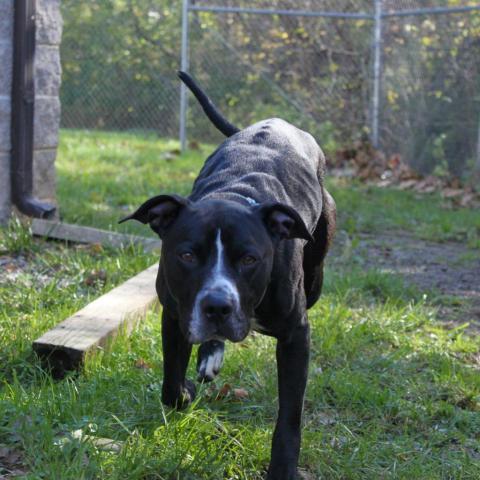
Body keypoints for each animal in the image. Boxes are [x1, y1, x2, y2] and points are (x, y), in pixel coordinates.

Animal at [120, 72, 338, 480]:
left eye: (250, 259)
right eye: (187, 255)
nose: (218, 307)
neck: (234, 194)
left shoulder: (295, 335)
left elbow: (289, 417)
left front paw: (282, 469)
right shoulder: (175, 314)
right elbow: (170, 383)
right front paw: (186, 391)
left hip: (316, 276)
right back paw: (210, 354)